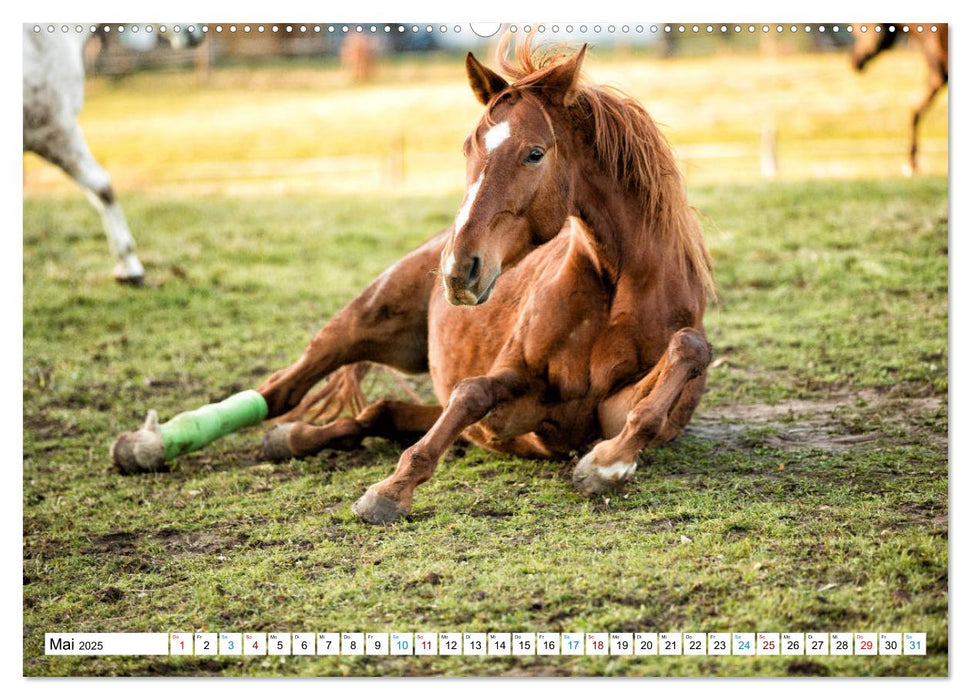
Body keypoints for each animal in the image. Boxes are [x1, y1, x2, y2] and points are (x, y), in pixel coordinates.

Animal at [116, 41, 720, 524]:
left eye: (534, 152)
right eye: (469, 148)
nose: (458, 270)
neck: (615, 286)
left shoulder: (603, 411)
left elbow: (686, 352)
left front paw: (609, 464)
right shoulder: (515, 390)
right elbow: (472, 394)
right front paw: (391, 490)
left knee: (375, 415)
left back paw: (288, 438)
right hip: (363, 320)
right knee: (283, 387)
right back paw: (150, 445)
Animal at [852, 25, 948, 174]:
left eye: (859, 30)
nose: (854, 62)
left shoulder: (937, 77)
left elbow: (915, 111)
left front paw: (912, 163)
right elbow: (915, 110)